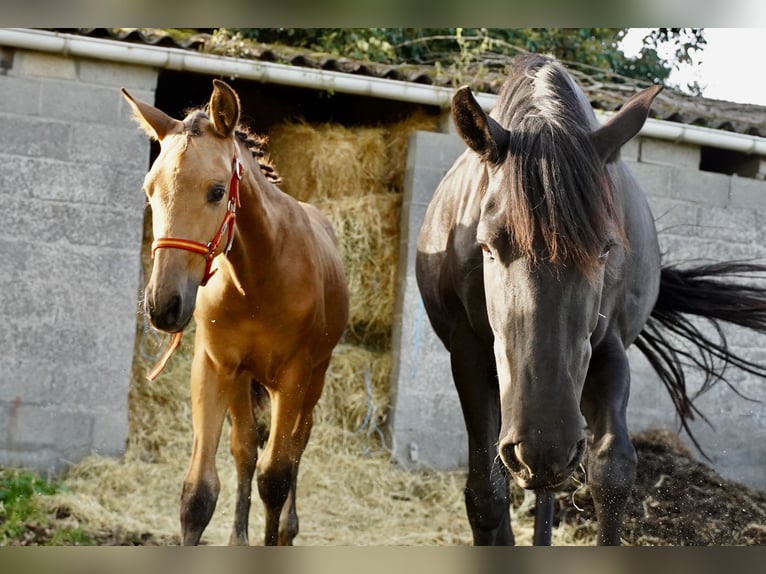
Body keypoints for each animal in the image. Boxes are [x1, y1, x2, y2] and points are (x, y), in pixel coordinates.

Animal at [121, 79, 350, 548]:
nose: (163, 304)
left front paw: (277, 535)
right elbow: (199, 493)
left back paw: (289, 528)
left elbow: (275, 478)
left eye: (216, 190)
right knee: (245, 448)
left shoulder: (294, 377)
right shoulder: (214, 366)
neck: (258, 281)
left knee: (296, 445)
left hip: (312, 380)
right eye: (149, 189)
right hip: (245, 380)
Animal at [416, 55, 766, 548]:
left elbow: (613, 471)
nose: (544, 445)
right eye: (486, 246)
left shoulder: (608, 348)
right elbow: (485, 492)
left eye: (605, 249)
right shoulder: (467, 354)